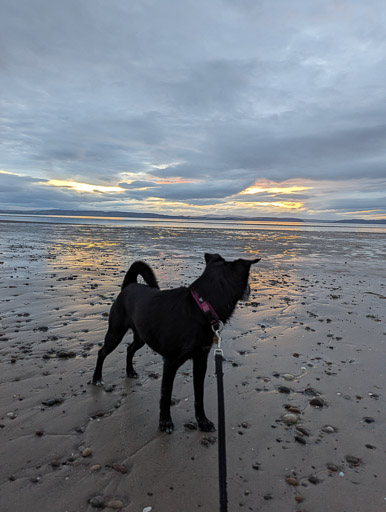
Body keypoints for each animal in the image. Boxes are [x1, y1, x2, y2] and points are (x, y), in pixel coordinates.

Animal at [93, 252, 260, 432]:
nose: (250, 290)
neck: (200, 307)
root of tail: (128, 286)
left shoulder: (200, 361)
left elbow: (199, 394)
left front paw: (202, 421)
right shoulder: (171, 363)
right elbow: (166, 394)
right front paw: (165, 422)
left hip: (141, 337)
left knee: (130, 349)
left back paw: (130, 371)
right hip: (115, 333)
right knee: (102, 352)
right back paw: (97, 378)